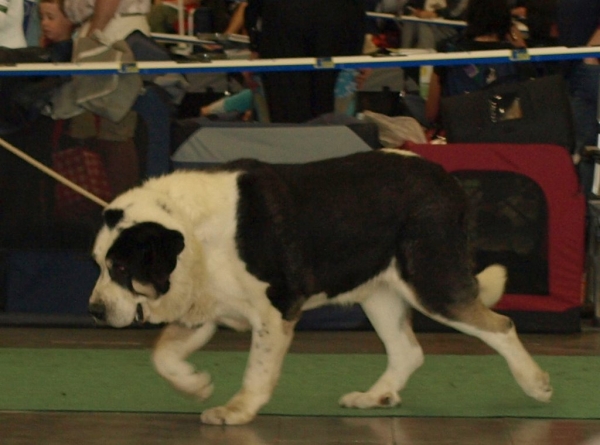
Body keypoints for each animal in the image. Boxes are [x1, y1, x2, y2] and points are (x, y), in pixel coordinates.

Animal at [89, 148, 552, 424]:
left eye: (120, 266)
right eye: (98, 264)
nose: (94, 309)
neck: (194, 234)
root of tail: (446, 178)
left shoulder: (274, 310)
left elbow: (258, 369)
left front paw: (237, 410)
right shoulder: (202, 307)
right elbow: (163, 355)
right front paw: (194, 384)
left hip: (431, 281)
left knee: (501, 326)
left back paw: (535, 383)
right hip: (380, 293)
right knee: (408, 350)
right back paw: (374, 397)